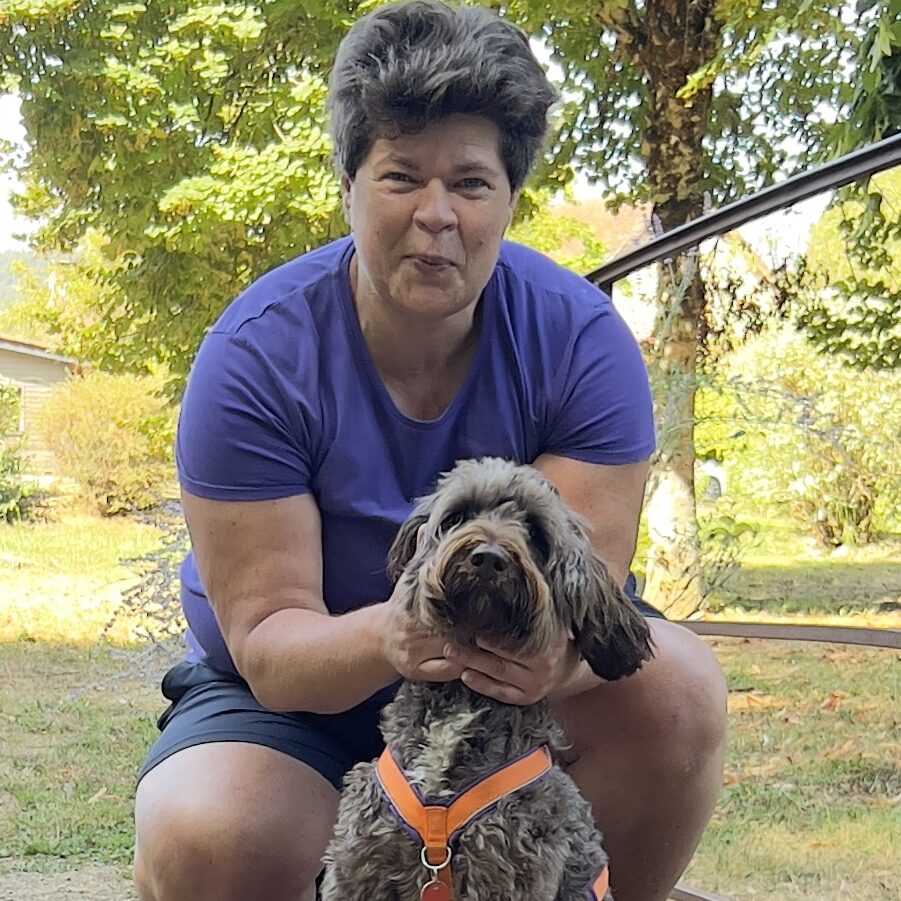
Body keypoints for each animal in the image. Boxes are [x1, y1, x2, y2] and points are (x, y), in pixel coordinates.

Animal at [320, 460, 652, 896]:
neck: (461, 697)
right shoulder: (356, 865)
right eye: (457, 516)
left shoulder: (510, 874)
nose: (489, 558)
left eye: (536, 533)